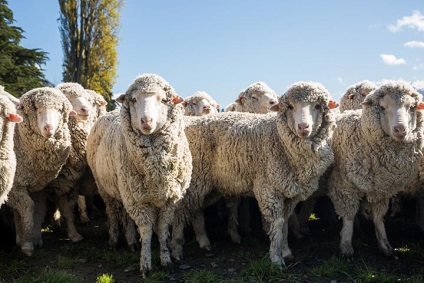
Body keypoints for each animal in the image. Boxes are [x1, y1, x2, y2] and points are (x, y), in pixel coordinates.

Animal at [5, 87, 75, 258]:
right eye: (37, 108)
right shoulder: (14, 188)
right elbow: (28, 208)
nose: (48, 128)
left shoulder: (36, 187)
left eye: (60, 109)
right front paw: (27, 244)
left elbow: (37, 210)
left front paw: (32, 238)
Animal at [86, 74, 192, 278]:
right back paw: (114, 240)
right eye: (134, 100)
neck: (155, 169)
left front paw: (166, 260)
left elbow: (161, 229)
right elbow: (147, 230)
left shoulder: (169, 200)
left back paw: (131, 240)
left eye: (164, 100)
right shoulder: (138, 201)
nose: (146, 121)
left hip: (125, 189)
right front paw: (146, 264)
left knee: (127, 217)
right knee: (112, 212)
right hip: (107, 188)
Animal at [171, 81, 338, 268]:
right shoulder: (268, 188)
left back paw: (202, 241)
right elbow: (277, 223)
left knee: (194, 209)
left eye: (318, 106)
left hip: (209, 185)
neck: (280, 139)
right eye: (290, 107)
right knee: (180, 211)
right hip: (194, 181)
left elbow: (285, 222)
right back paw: (176, 248)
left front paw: (286, 250)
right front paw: (276, 258)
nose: (303, 127)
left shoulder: (290, 191)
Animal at [328, 80, 424, 260]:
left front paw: (385, 245)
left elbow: (378, 218)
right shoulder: (344, 185)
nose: (400, 130)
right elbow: (348, 216)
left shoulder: (381, 187)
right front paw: (346, 246)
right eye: (383, 107)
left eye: (411, 107)